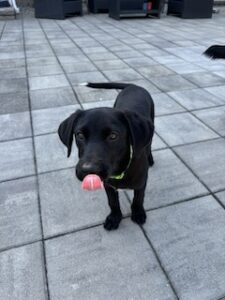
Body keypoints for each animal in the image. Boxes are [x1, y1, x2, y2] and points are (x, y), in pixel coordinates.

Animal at [57, 83, 155, 231]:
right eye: (79, 135)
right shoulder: (108, 185)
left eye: (113, 136)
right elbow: (113, 202)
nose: (88, 170)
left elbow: (138, 198)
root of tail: (133, 85)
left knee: (149, 144)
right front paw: (114, 218)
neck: (120, 171)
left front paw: (138, 213)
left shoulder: (141, 183)